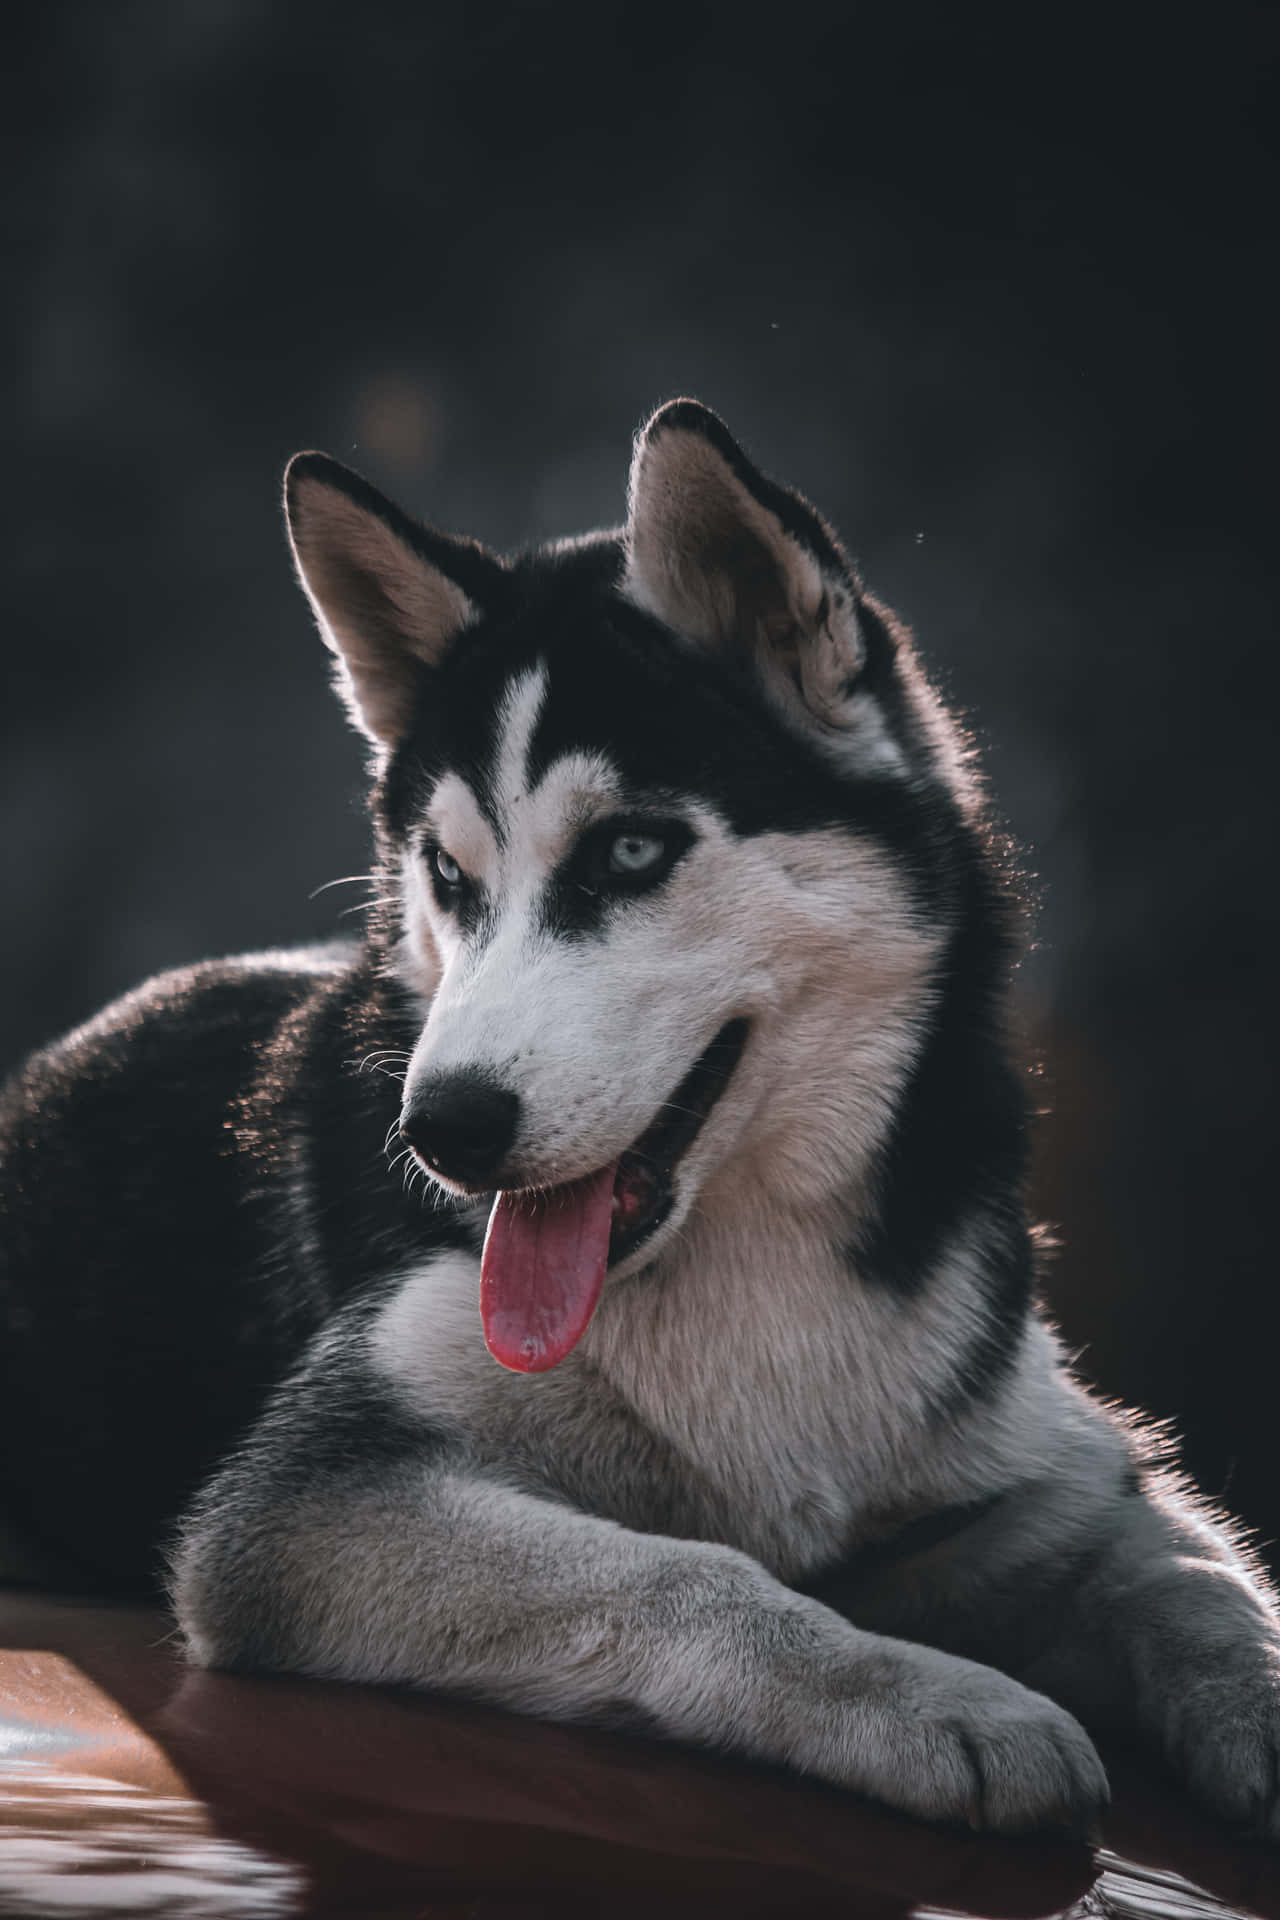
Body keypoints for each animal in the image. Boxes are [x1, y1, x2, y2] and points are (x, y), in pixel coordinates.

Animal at [0, 393, 1274, 1843]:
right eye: (449, 876)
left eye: (627, 850)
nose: (441, 1132)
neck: (745, 1266)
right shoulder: (306, 1507)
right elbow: (689, 1569)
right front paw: (937, 1700)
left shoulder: (1049, 1479)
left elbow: (1202, 1580)